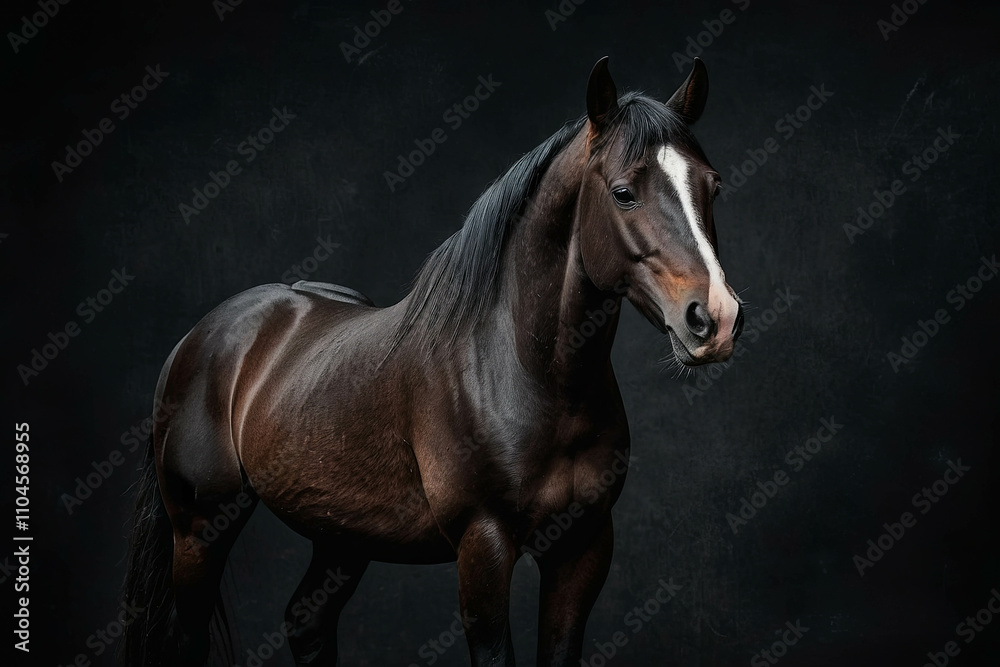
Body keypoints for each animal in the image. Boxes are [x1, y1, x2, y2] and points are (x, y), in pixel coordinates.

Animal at [120, 55, 744, 666]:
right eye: (623, 192)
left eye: (713, 186)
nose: (715, 317)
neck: (527, 375)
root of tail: (197, 340)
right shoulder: (483, 547)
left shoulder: (582, 547)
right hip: (199, 530)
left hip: (340, 537)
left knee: (306, 623)